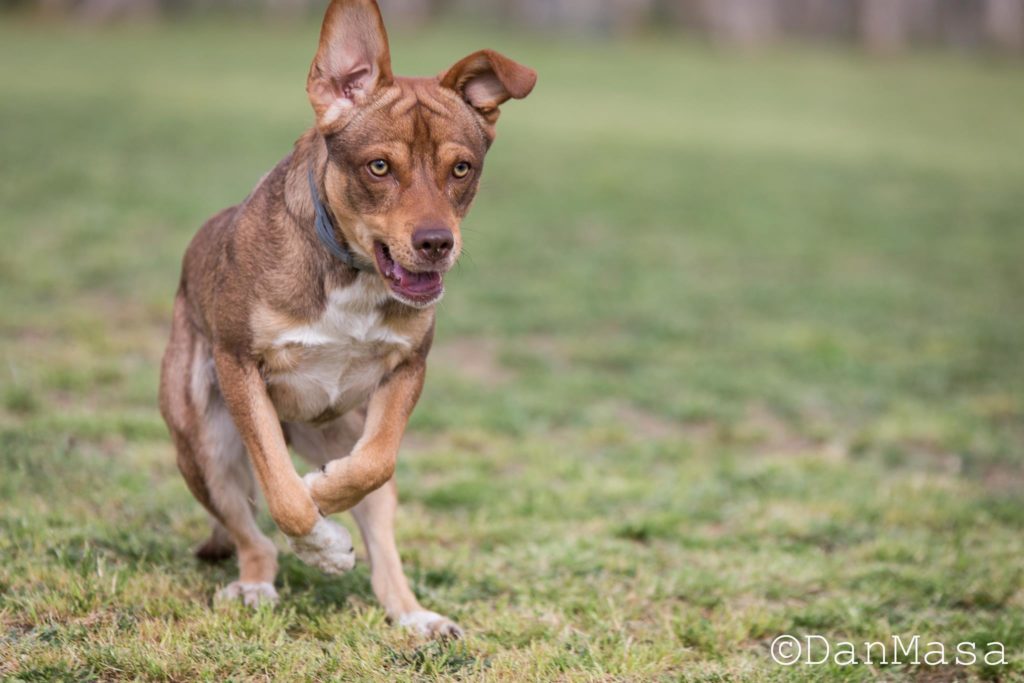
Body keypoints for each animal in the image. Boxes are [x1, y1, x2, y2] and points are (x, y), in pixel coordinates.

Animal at [157, 0, 536, 643]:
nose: (436, 243)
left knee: (380, 539)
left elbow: (373, 464)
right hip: (203, 444)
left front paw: (327, 500)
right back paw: (260, 580)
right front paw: (324, 543)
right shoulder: (240, 365)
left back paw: (415, 615)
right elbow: (284, 495)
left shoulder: (407, 368)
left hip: (338, 432)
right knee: (252, 536)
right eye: (378, 167)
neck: (351, 272)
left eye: (461, 169)